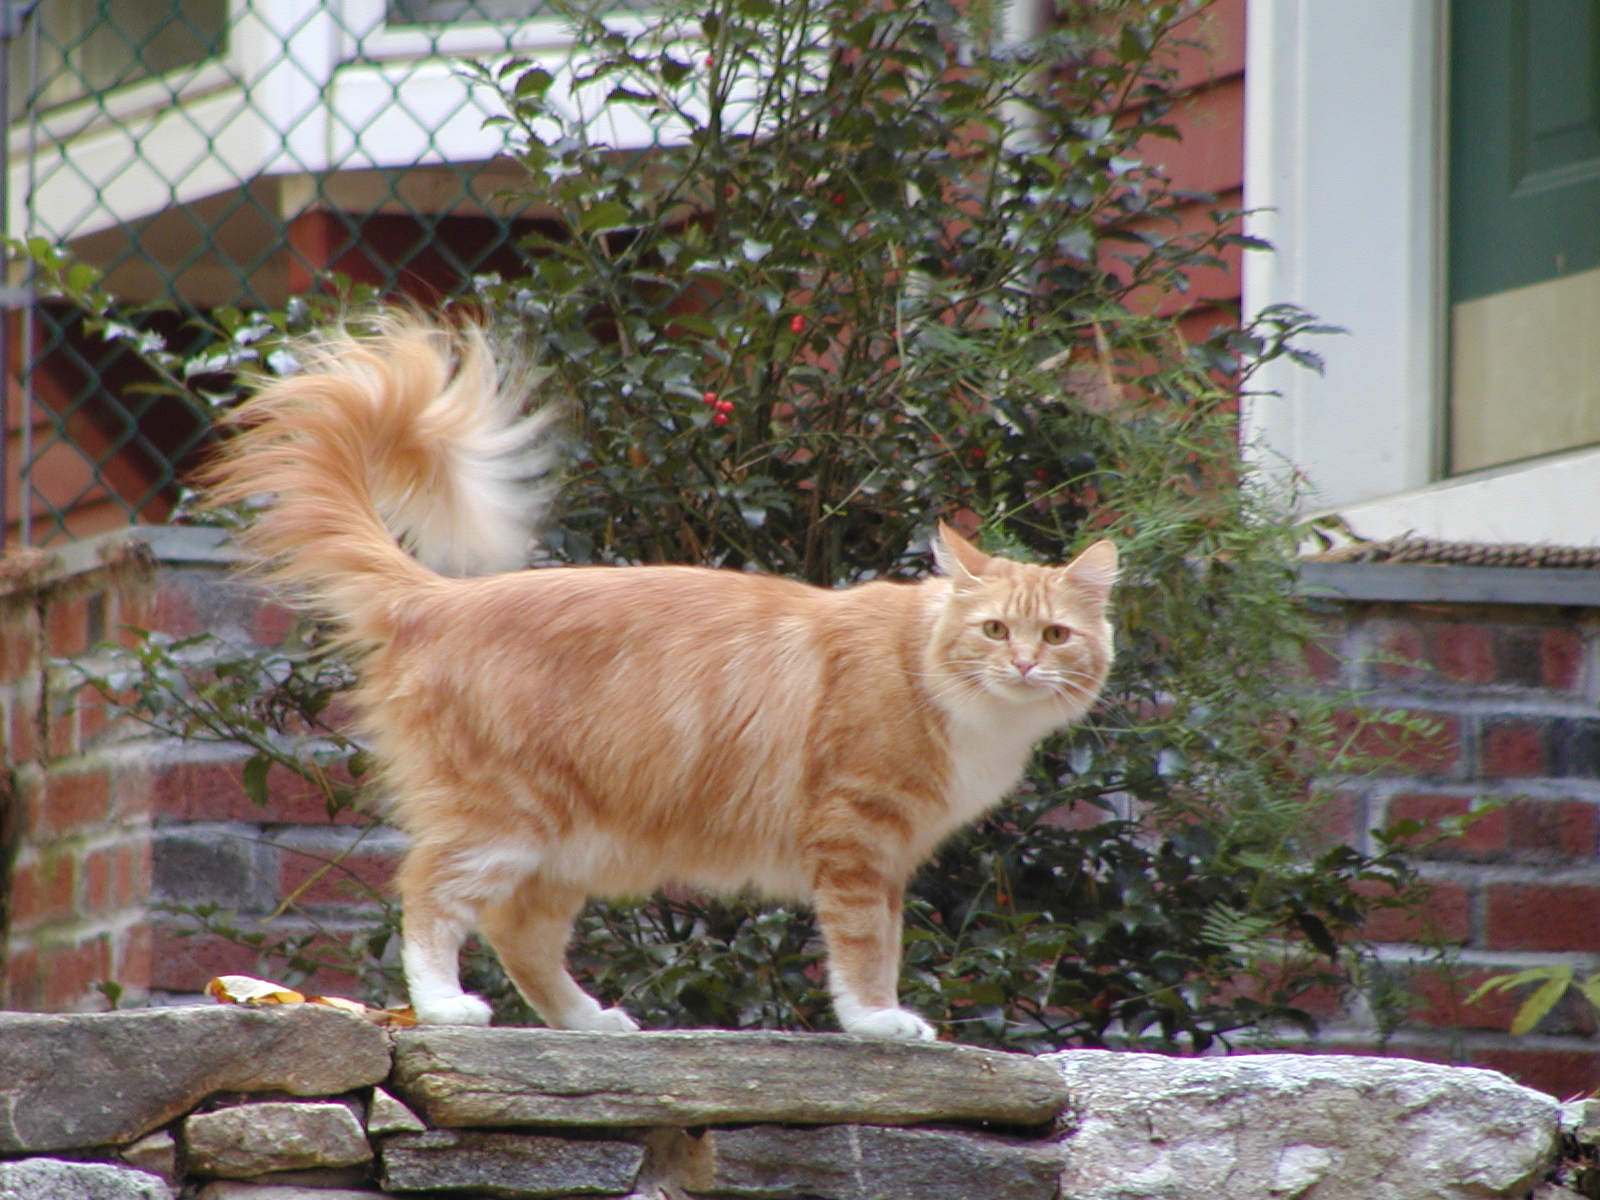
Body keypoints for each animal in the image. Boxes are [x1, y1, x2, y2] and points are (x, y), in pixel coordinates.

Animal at [205, 314, 1118, 1040]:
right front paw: (877, 1022)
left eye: (1056, 635)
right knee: (428, 897)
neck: (943, 686)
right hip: (502, 817)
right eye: (993, 629)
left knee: (519, 933)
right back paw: (443, 1007)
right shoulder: (857, 837)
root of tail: (440, 596)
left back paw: (585, 1021)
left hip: (569, 844)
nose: (1024, 662)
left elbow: (884, 943)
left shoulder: (887, 858)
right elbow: (863, 951)